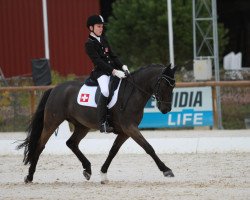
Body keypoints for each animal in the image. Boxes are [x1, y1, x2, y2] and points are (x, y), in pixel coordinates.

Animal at [17, 63, 176, 184]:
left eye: (173, 86)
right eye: (164, 85)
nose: (166, 109)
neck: (133, 93)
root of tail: (55, 88)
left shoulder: (125, 131)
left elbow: (113, 151)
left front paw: (103, 174)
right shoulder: (130, 128)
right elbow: (148, 148)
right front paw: (166, 170)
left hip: (82, 126)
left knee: (71, 143)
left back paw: (87, 169)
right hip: (52, 122)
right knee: (40, 145)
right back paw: (29, 176)